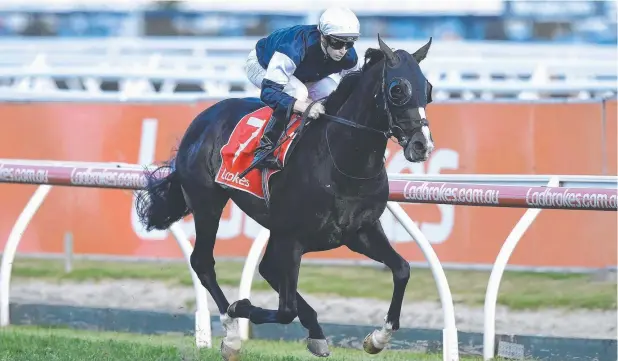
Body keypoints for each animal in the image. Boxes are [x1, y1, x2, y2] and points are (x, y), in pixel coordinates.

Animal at [135, 34, 434, 360]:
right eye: (397, 89)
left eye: (428, 89)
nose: (422, 145)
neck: (343, 162)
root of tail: (202, 118)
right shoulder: (293, 238)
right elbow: (285, 310)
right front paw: (240, 308)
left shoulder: (360, 231)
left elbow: (402, 270)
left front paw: (378, 338)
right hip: (207, 203)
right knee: (203, 262)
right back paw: (232, 335)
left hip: (271, 225)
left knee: (265, 269)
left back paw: (312, 332)